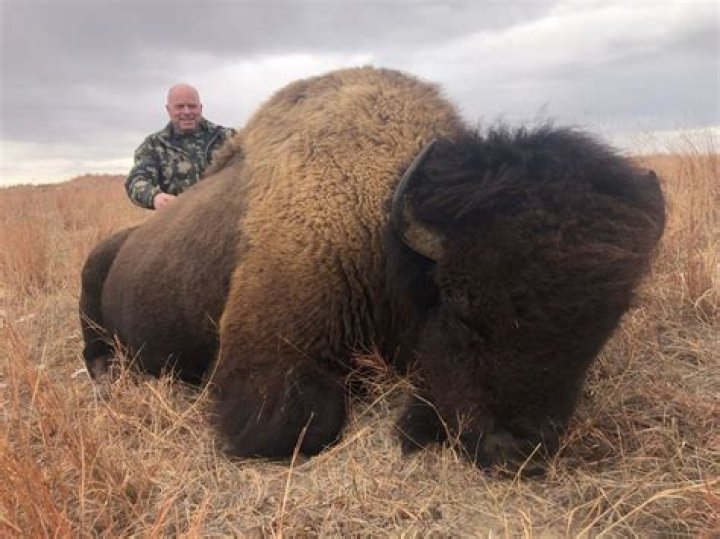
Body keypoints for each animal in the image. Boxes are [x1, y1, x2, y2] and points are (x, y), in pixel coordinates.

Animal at [80, 67, 665, 472]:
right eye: (462, 309)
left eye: (603, 327)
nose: (516, 451)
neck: (381, 225)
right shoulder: (260, 358)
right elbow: (301, 424)